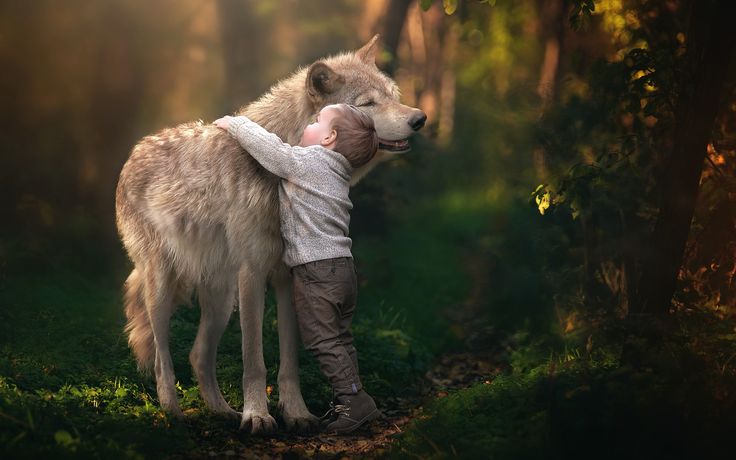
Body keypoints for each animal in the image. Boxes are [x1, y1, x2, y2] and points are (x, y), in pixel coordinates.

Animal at [114, 36, 426, 434]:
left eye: (392, 95)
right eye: (369, 104)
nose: (419, 118)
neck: (282, 174)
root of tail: (133, 153)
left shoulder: (287, 277)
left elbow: (289, 360)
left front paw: (296, 413)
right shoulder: (253, 273)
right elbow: (254, 360)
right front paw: (258, 416)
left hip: (221, 299)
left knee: (198, 354)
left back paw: (221, 412)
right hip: (163, 288)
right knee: (162, 356)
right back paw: (173, 413)